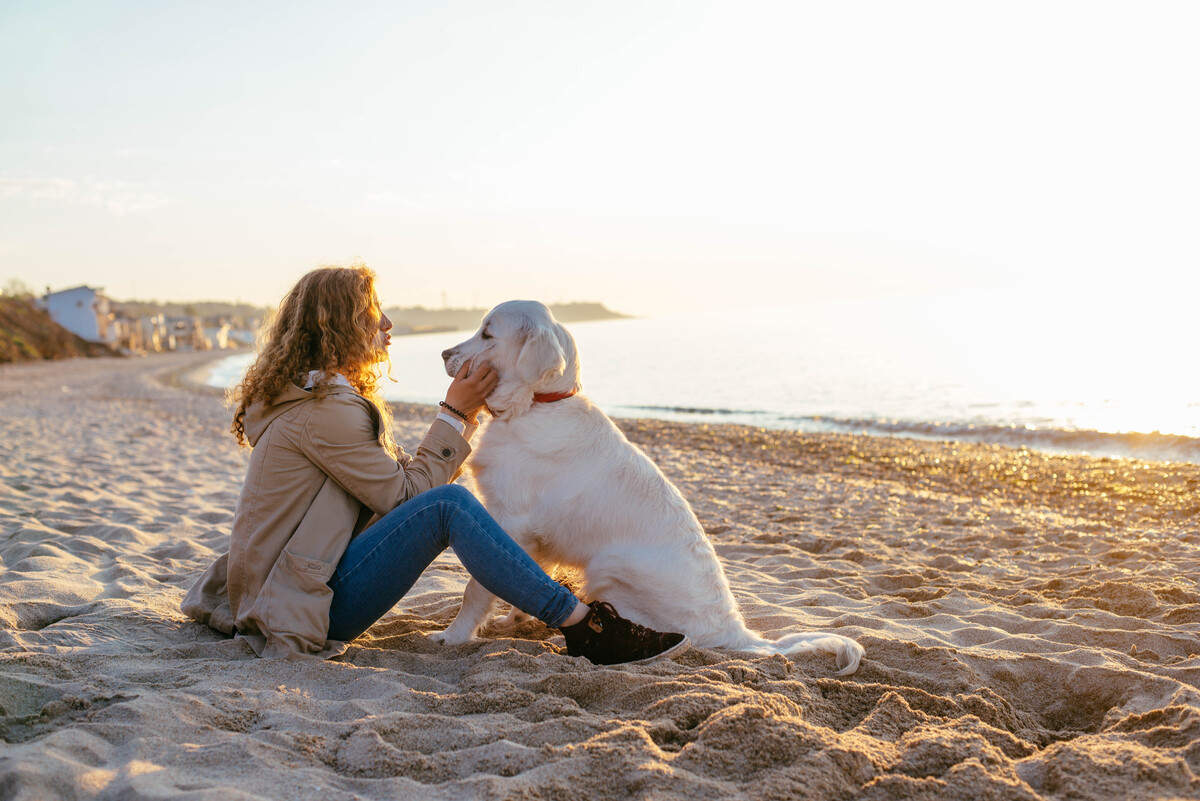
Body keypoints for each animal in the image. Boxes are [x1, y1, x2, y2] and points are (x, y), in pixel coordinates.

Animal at [439, 299, 864, 676]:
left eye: (488, 333)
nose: (443, 352)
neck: (537, 404)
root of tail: (737, 633)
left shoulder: (509, 519)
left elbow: (477, 589)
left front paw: (454, 636)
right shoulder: (530, 533)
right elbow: (531, 574)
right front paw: (512, 619)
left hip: (608, 567)